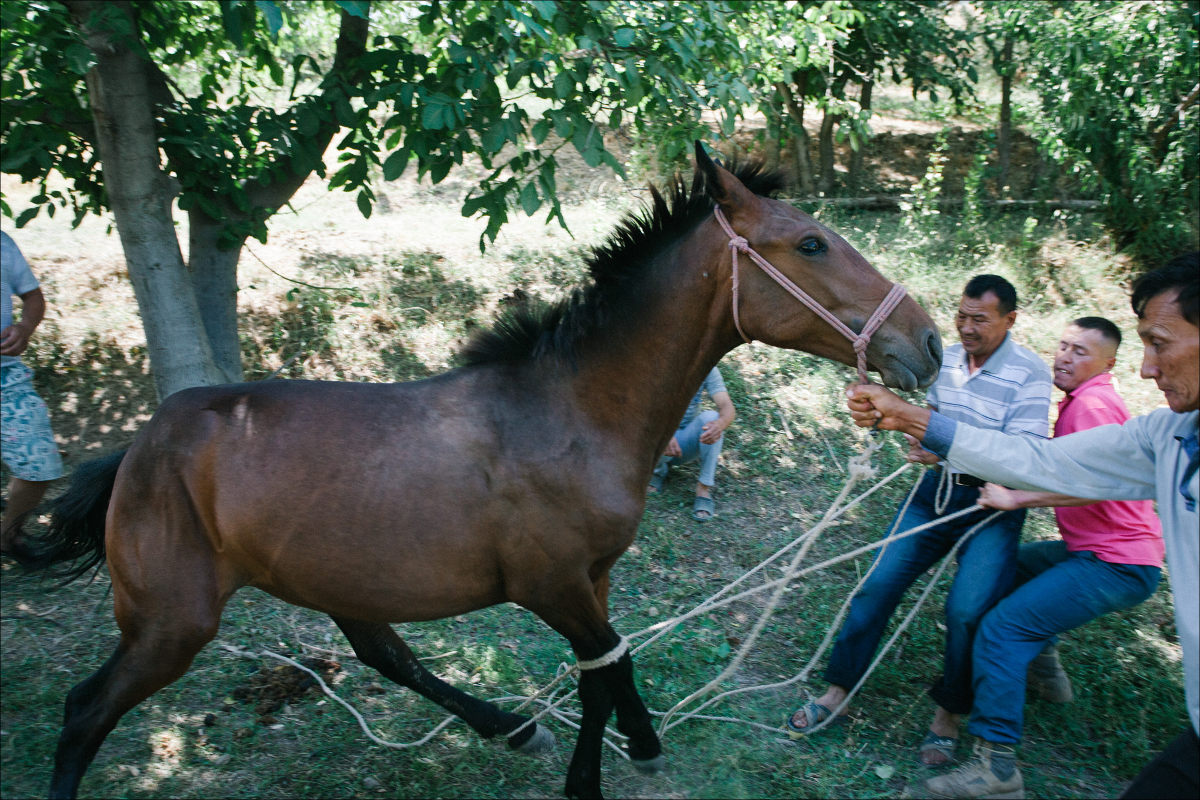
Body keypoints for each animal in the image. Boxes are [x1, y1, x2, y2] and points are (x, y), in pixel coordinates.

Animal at [28, 145, 940, 800]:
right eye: (811, 242)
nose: (927, 343)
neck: (567, 412)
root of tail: (139, 447)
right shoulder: (551, 585)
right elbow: (610, 664)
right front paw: (600, 774)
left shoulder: (593, 578)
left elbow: (605, 671)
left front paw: (634, 748)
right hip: (172, 623)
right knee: (80, 712)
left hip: (331, 578)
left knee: (384, 656)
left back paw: (512, 728)